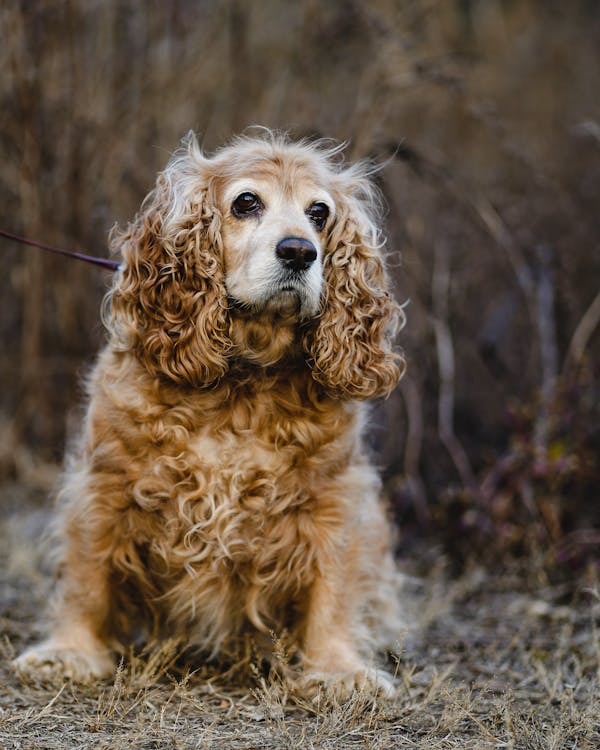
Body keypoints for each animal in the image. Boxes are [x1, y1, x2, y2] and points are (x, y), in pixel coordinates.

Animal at [15, 132, 408, 704]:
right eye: (246, 202)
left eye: (319, 213)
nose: (299, 250)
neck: (240, 386)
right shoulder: (105, 483)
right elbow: (88, 574)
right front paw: (70, 653)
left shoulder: (333, 498)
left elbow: (333, 587)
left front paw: (337, 669)